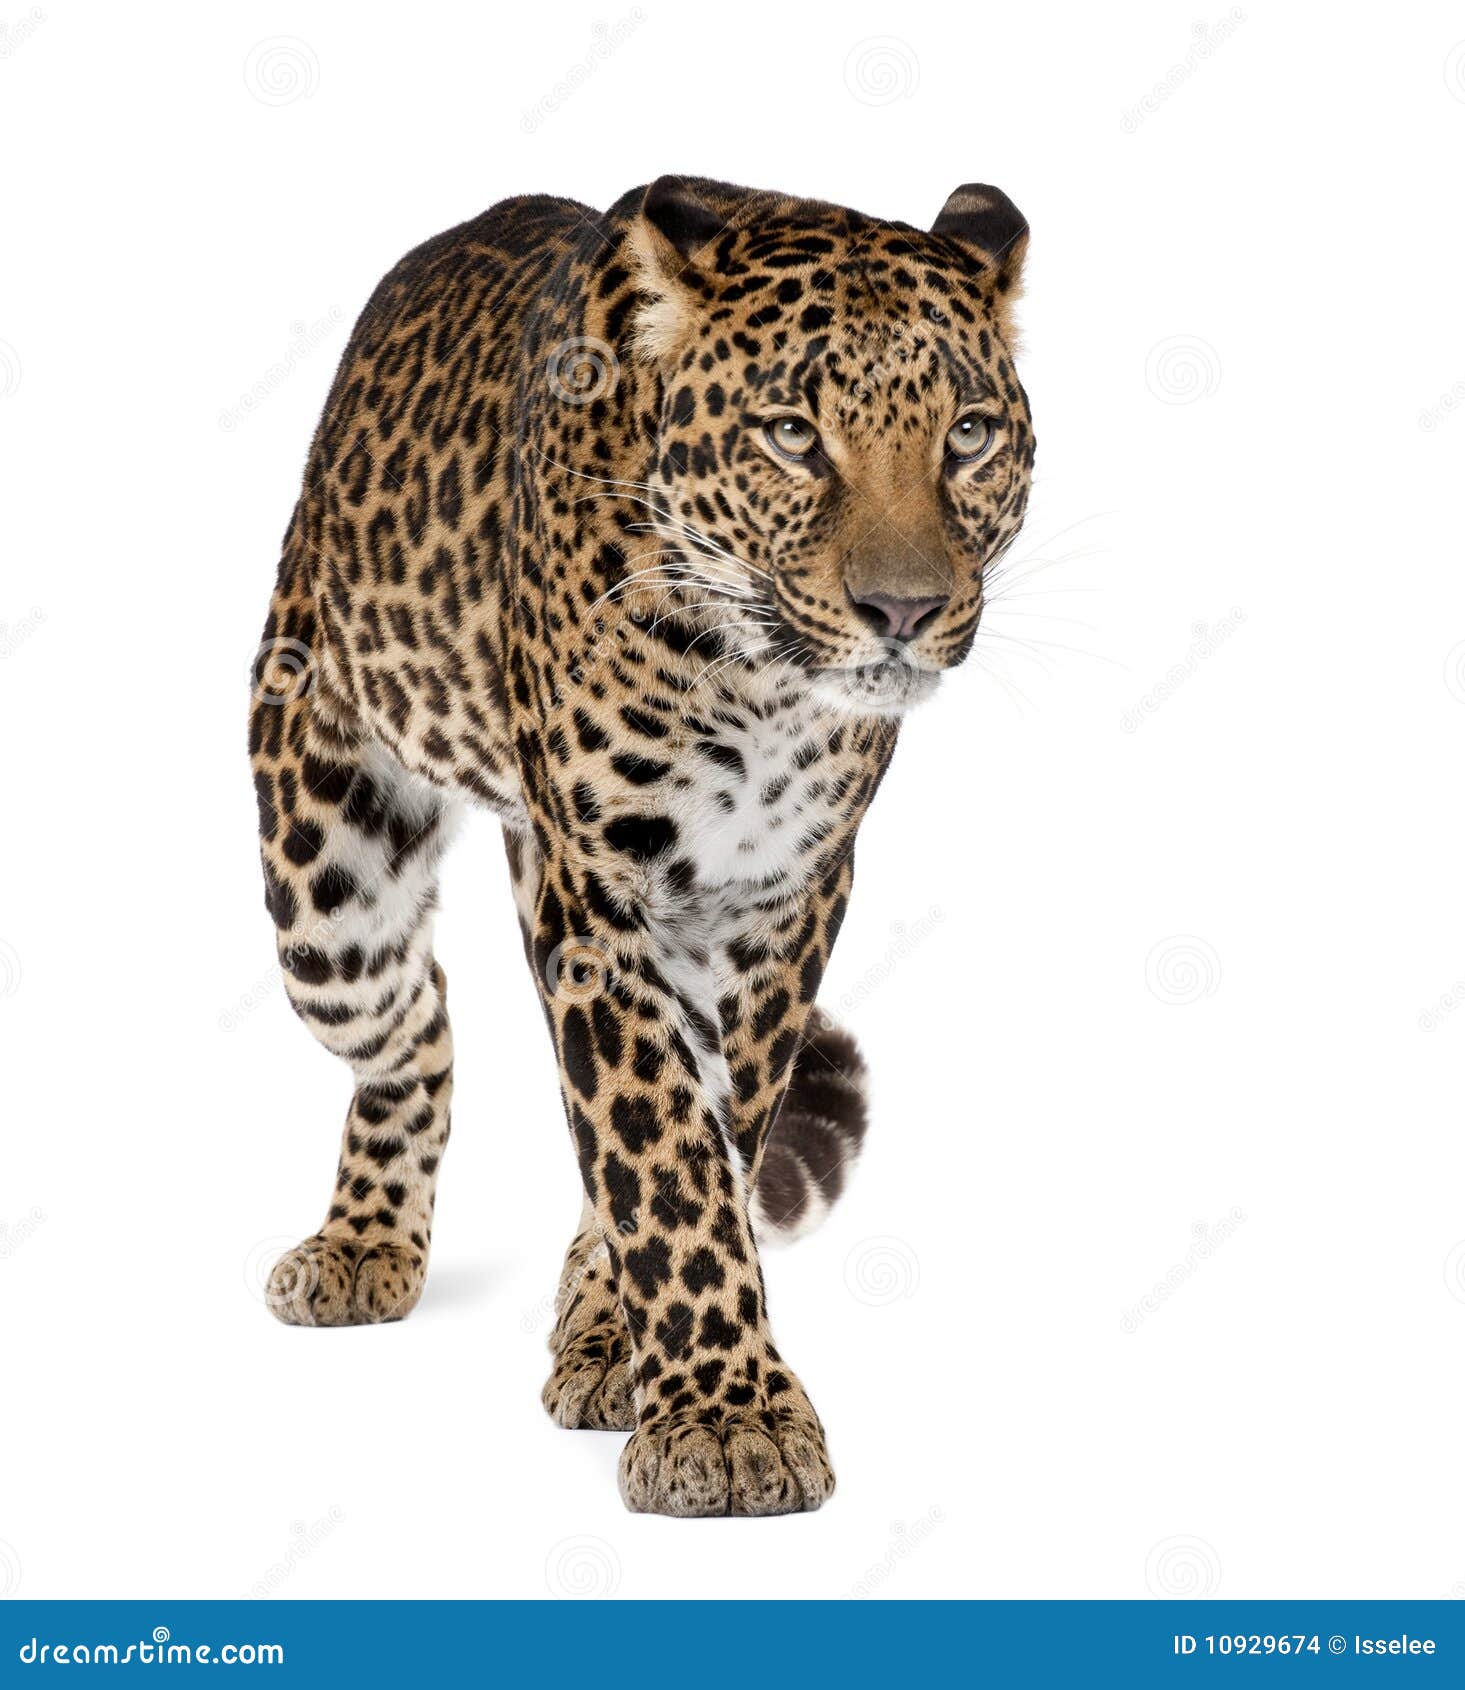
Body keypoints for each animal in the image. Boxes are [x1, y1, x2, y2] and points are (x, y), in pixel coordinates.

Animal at [248, 171, 1034, 1521]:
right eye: (791, 434)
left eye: (969, 434)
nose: (904, 610)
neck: (759, 686)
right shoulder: (601, 896)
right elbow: (658, 1145)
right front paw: (725, 1418)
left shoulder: (781, 897)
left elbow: (710, 1128)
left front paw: (628, 1347)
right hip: (325, 881)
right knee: (416, 1023)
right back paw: (362, 1243)